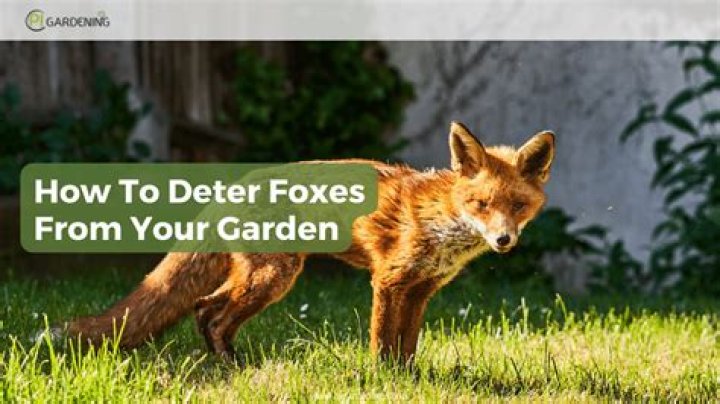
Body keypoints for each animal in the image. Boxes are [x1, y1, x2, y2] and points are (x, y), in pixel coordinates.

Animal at [60, 122, 555, 363]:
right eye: (480, 203)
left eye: (517, 205)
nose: (503, 240)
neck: (444, 221)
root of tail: (234, 184)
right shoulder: (389, 280)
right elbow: (382, 341)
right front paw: (384, 380)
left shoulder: (421, 290)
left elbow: (407, 344)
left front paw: (411, 378)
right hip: (274, 277)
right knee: (213, 315)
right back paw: (231, 365)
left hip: (260, 277)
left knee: (203, 307)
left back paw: (226, 361)